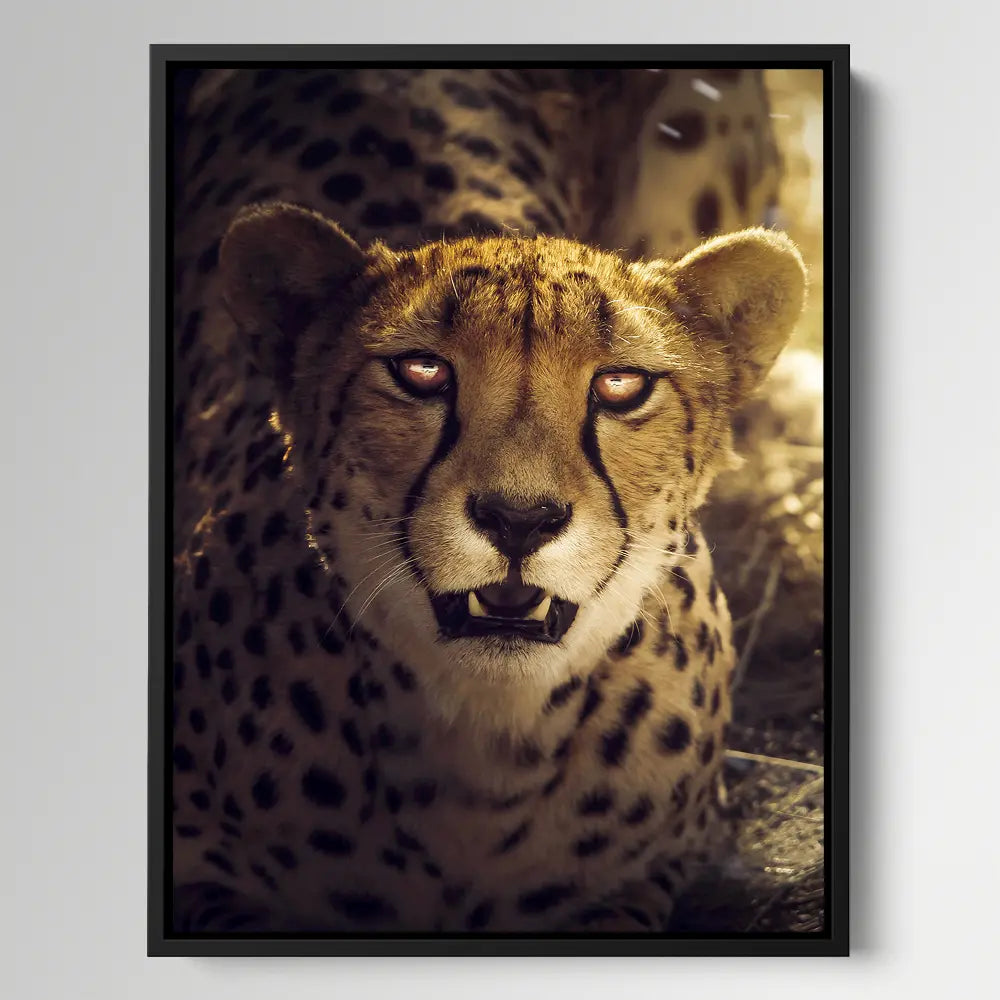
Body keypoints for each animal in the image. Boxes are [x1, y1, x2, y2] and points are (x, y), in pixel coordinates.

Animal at [170, 66, 805, 934]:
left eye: (621, 385)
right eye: (421, 372)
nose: (519, 518)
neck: (489, 742)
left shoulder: (644, 877)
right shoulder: (201, 870)